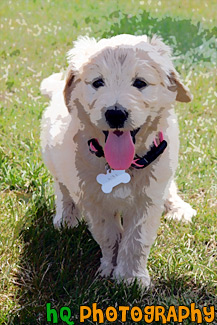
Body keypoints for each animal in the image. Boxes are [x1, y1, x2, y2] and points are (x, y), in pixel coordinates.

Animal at [40, 34, 197, 284]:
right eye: (97, 82)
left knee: (170, 188)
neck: (122, 165)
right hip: (55, 161)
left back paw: (178, 208)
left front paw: (130, 277)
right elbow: (109, 235)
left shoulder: (148, 197)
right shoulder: (93, 200)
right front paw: (111, 269)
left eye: (140, 83)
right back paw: (66, 218)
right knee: (62, 189)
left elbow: (136, 239)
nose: (115, 113)